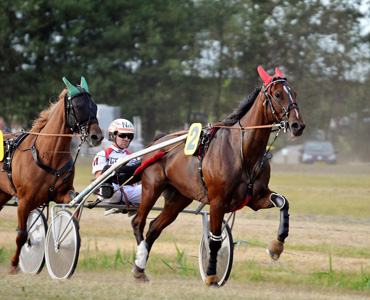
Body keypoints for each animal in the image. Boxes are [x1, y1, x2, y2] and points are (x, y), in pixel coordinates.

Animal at [0, 77, 102, 274]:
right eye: (79, 107)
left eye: (94, 106)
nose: (97, 136)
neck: (48, 154)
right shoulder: (24, 201)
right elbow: (22, 235)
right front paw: (14, 264)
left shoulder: (61, 193)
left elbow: (73, 208)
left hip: (2, 193)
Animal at [132, 66, 304, 286]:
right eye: (277, 94)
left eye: (295, 93)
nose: (298, 125)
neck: (242, 151)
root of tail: (156, 143)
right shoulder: (217, 202)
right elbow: (214, 241)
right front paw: (212, 274)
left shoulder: (256, 198)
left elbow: (282, 202)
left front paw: (276, 246)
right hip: (152, 187)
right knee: (138, 222)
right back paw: (139, 261)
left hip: (179, 197)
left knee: (154, 228)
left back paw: (140, 268)